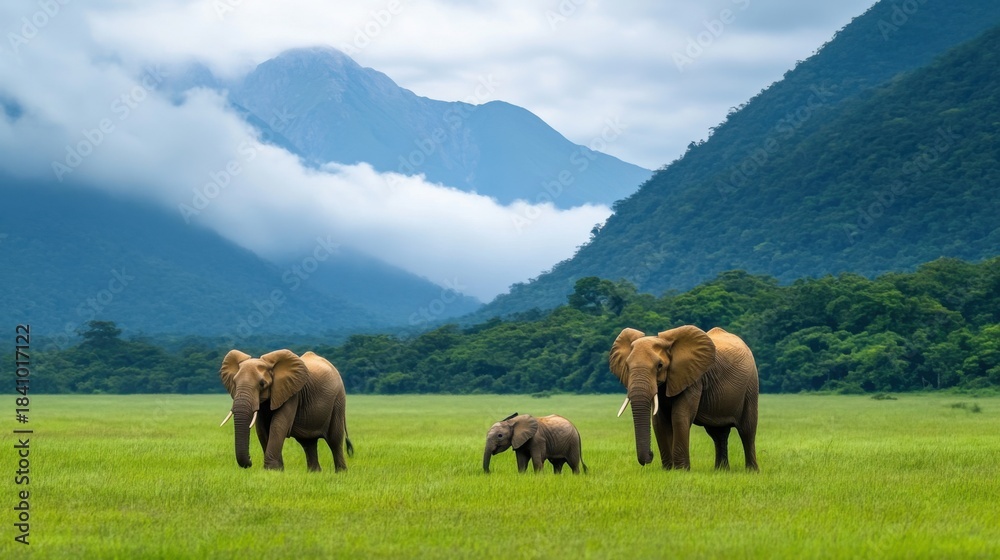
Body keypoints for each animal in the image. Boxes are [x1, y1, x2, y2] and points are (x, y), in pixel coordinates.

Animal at [219, 349, 353, 471]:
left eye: (262, 384)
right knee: (308, 442)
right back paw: (315, 473)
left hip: (338, 400)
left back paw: (341, 473)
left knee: (335, 439)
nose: (250, 460)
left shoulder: (292, 394)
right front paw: (278, 470)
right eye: (234, 382)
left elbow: (278, 425)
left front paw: (272, 470)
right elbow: (262, 429)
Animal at [609, 325, 759, 471]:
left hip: (751, 386)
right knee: (718, 433)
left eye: (660, 366)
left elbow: (679, 417)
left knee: (747, 430)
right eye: (627, 366)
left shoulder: (694, 379)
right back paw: (721, 471)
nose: (650, 455)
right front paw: (668, 470)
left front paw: (681, 470)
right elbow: (659, 421)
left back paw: (751, 471)